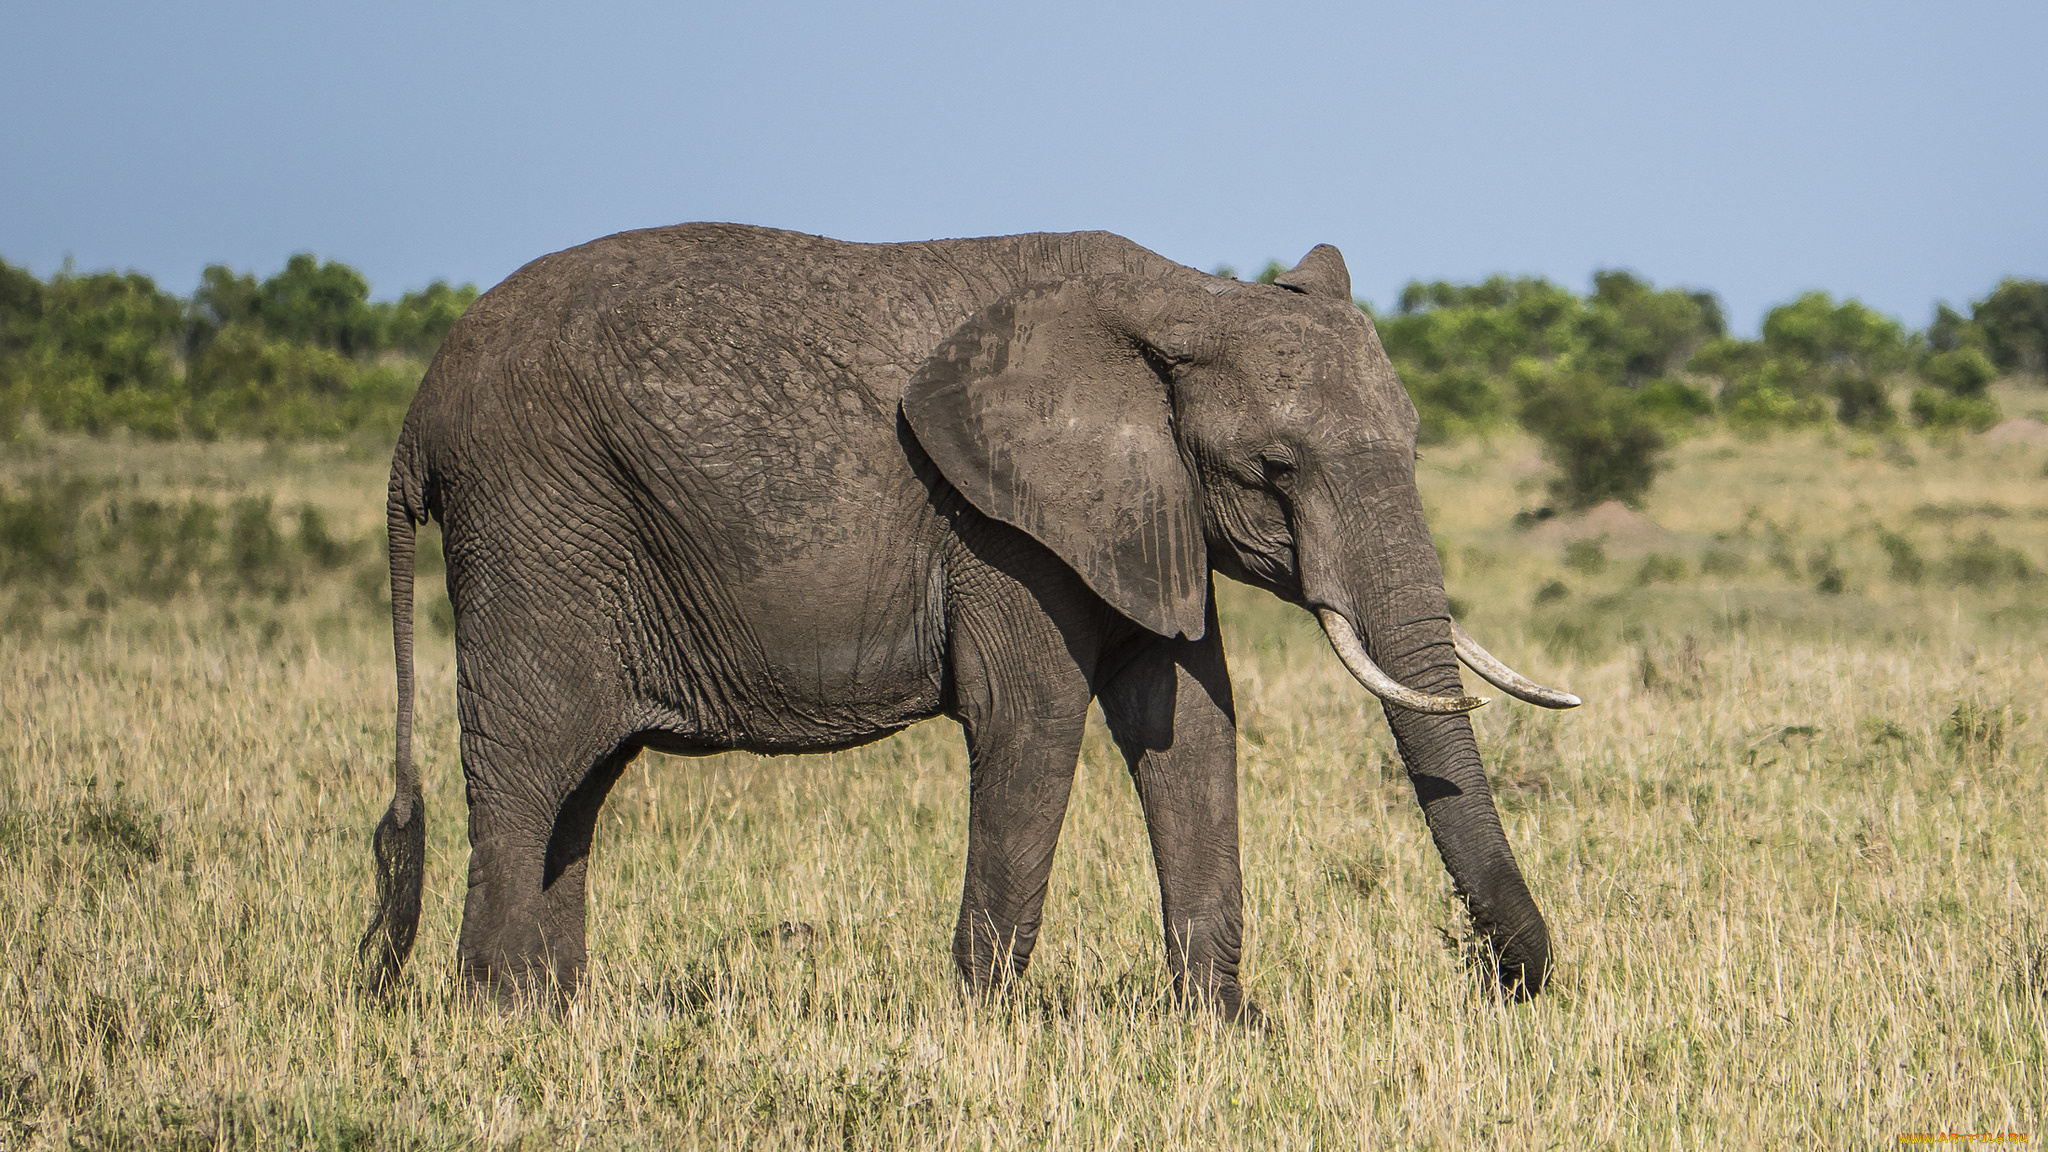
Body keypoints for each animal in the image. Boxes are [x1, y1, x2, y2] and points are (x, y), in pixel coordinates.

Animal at [356, 219, 1581, 1008]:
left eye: (1415, 445)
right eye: (1275, 468)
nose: (1503, 982)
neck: (1181, 297)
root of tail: (415, 416)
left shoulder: (1144, 506)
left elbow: (1191, 722)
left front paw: (1225, 1029)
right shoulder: (997, 524)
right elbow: (1032, 724)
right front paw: (980, 1030)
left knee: (585, 781)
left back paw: (557, 1014)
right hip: (534, 526)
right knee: (528, 766)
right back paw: (494, 1022)